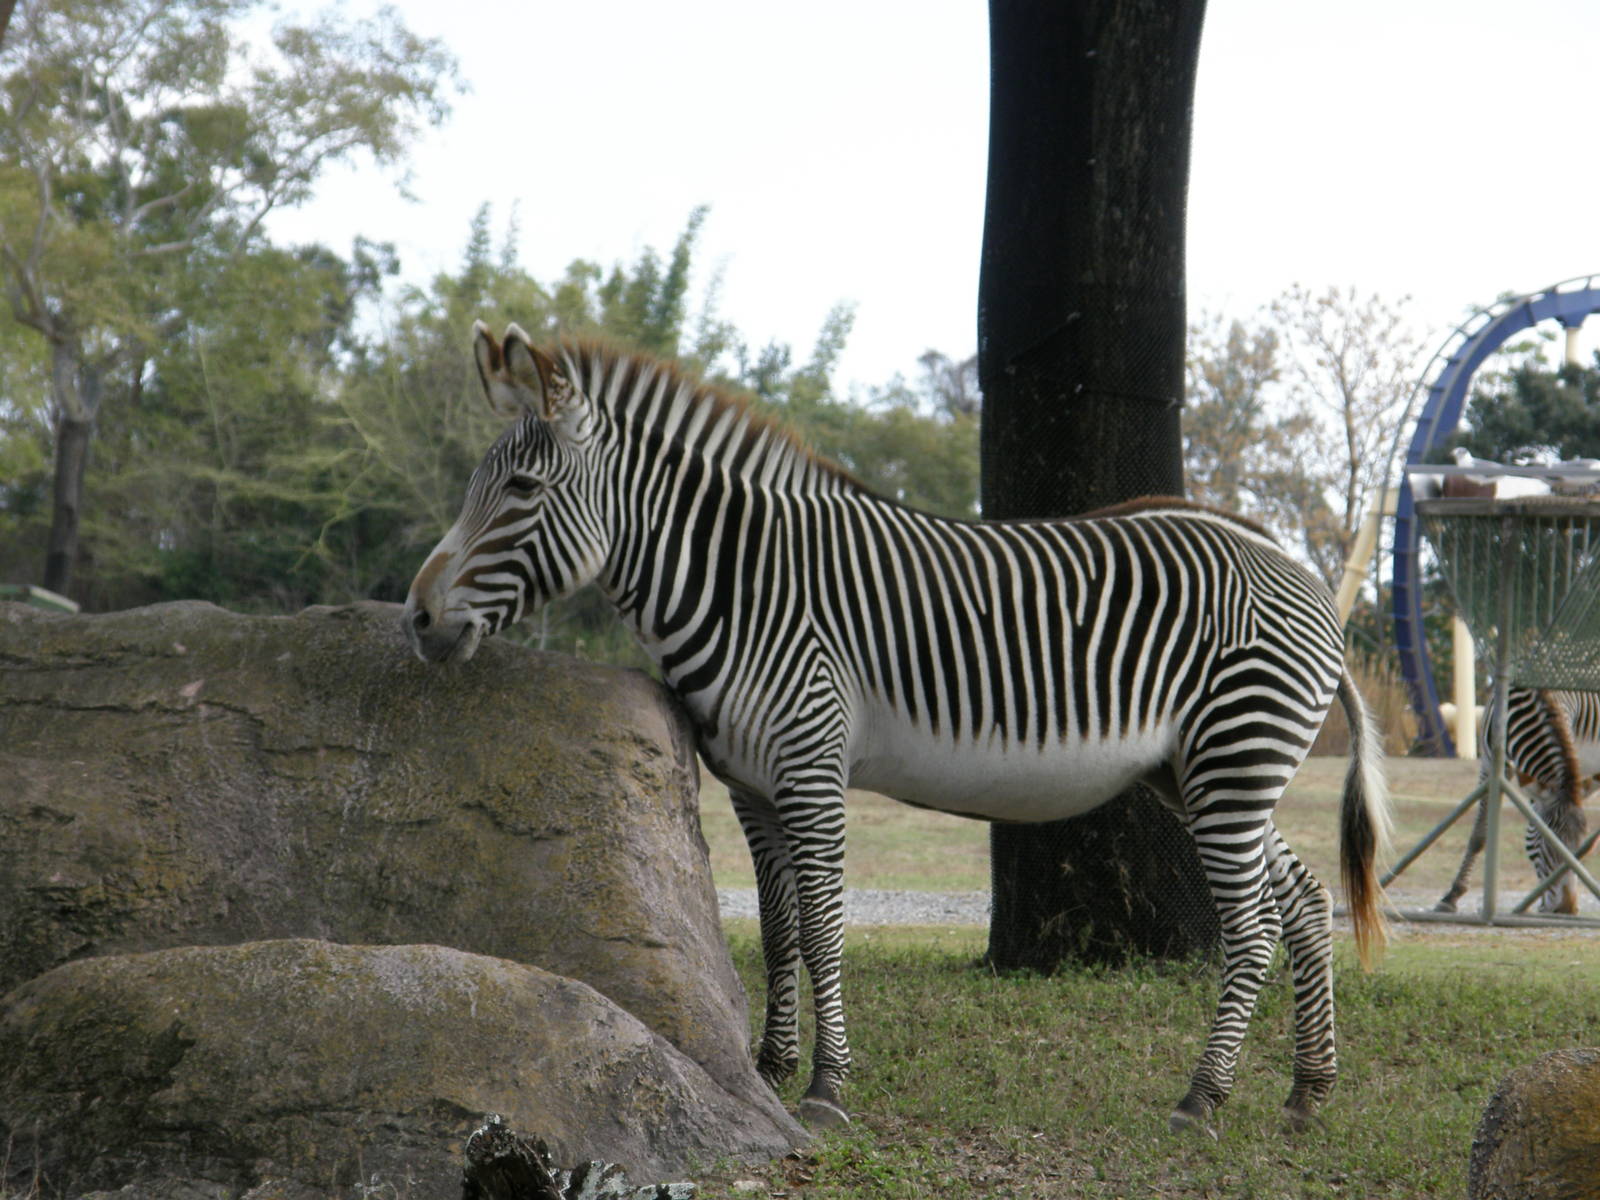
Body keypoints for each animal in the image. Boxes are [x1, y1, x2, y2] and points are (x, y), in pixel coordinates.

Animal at [402, 324, 1390, 1135]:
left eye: (521, 487)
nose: (417, 618)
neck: (739, 587)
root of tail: (1294, 567)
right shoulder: (753, 787)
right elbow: (779, 927)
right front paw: (771, 1067)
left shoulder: (811, 763)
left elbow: (824, 924)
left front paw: (827, 1088)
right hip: (1198, 774)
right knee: (1304, 901)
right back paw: (1308, 1093)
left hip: (1233, 762)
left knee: (1255, 926)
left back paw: (1202, 1099)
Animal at [1436, 688, 1600, 915]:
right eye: (1549, 844)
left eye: (1581, 846)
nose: (1567, 909)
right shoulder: (1491, 762)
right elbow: (1480, 834)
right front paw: (1453, 895)